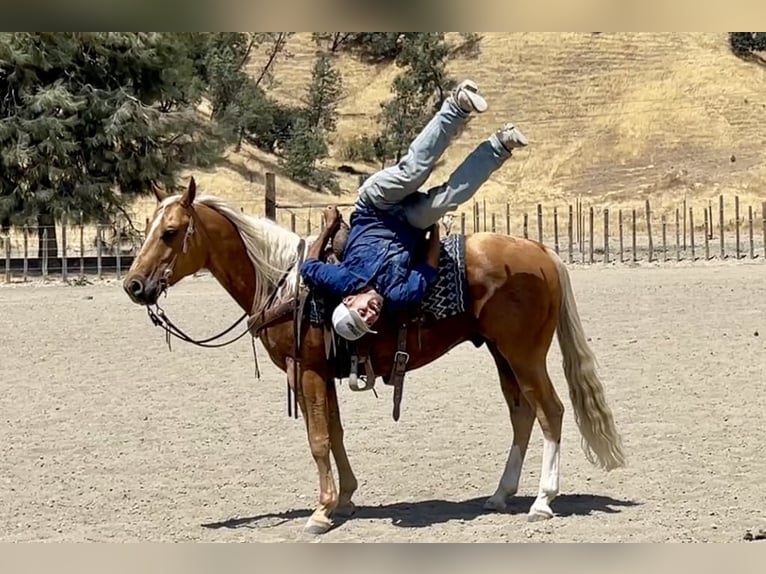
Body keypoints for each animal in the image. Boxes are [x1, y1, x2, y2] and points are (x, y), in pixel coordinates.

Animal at [123, 178, 628, 536]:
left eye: (170, 233)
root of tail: (541, 252)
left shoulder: (306, 370)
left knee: (551, 412)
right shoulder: (322, 371)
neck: (285, 282)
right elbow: (335, 433)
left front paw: (321, 510)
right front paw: (344, 498)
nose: (133, 285)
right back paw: (502, 495)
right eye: (148, 229)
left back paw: (543, 501)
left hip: (525, 356)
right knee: (522, 415)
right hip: (502, 355)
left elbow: (318, 439)